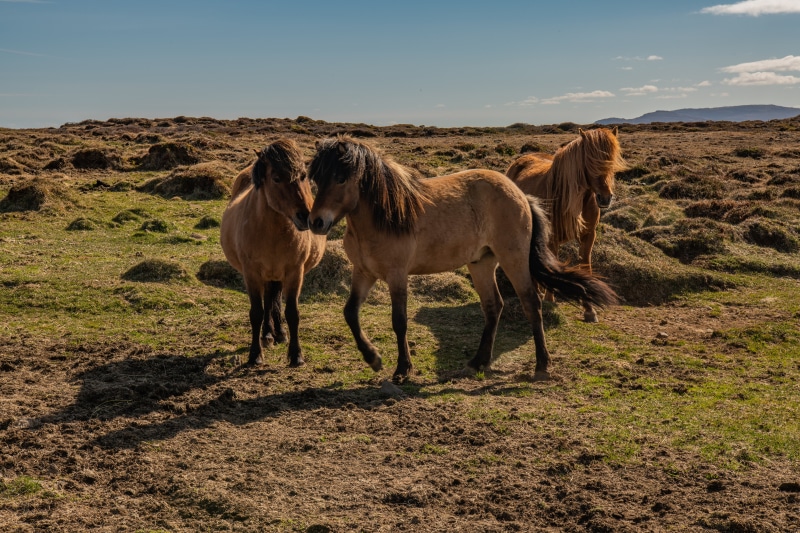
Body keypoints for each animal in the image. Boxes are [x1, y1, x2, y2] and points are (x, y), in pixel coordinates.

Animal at [221, 138, 326, 367]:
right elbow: (256, 312)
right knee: (268, 302)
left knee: (272, 299)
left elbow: (292, 313)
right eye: (276, 178)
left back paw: (278, 333)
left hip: (276, 275)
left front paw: (296, 355)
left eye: (303, 175)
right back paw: (268, 334)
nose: (306, 217)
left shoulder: (295, 272)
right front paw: (255, 355)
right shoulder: (251, 273)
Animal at [307, 136, 617, 381]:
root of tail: (519, 194)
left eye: (340, 178)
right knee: (494, 306)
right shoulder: (363, 272)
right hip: (481, 263)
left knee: (531, 303)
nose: (316, 222)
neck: (386, 216)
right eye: (317, 178)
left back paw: (541, 366)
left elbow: (399, 320)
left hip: (513, 259)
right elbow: (350, 313)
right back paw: (478, 362)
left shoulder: (397, 275)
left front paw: (403, 368)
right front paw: (373, 358)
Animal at [506, 127, 627, 322]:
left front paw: (589, 310)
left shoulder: (588, 235)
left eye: (612, 161)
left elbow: (585, 265)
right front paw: (549, 300)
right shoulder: (553, 237)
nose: (605, 198)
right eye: (589, 161)